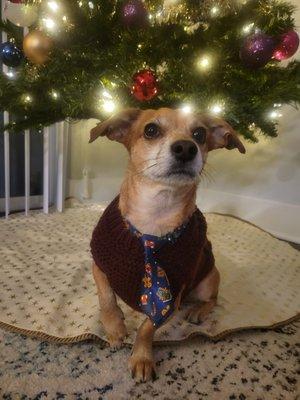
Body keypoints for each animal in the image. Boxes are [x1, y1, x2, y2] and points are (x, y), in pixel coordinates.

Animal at [88, 108, 245, 382]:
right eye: (151, 130)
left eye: (199, 134)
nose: (186, 148)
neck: (154, 216)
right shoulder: (100, 265)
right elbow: (106, 298)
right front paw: (115, 328)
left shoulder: (170, 298)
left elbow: (147, 327)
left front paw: (141, 357)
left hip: (206, 282)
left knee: (213, 299)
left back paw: (198, 312)